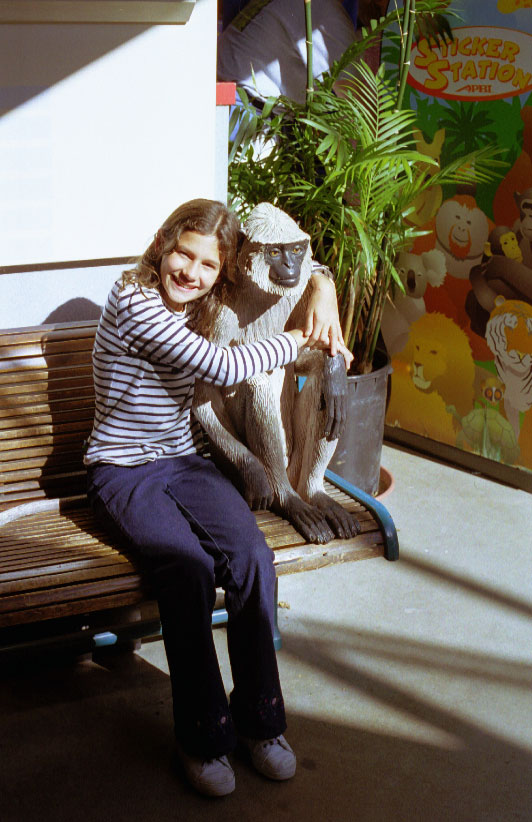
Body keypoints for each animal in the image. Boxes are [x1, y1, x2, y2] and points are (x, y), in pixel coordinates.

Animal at [193, 203, 360, 545]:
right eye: (274, 252)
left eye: (296, 250)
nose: (290, 265)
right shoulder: (220, 314)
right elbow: (204, 393)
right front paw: (257, 475)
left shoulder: (297, 296)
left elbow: (310, 359)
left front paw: (334, 364)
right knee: (255, 382)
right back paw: (288, 499)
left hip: (295, 463)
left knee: (323, 386)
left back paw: (313, 492)